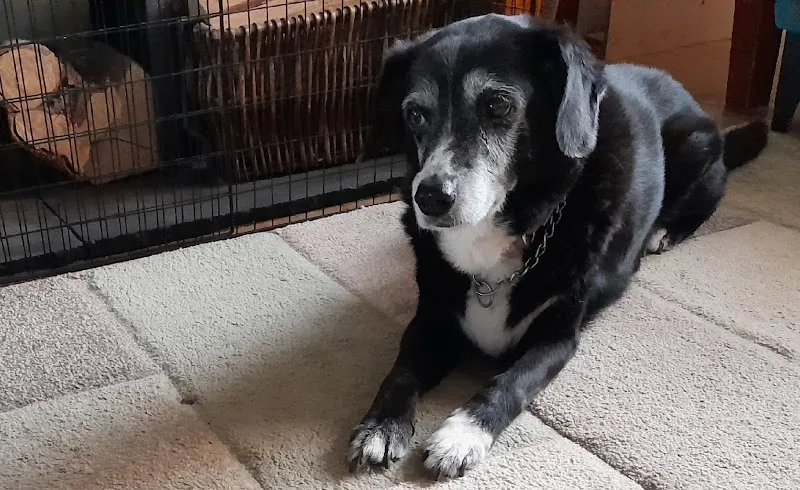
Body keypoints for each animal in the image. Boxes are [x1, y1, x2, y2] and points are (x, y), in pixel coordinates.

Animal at [347, 13, 768, 479]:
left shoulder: (558, 337)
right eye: (415, 114)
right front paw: (380, 426)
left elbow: (511, 383)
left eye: (497, 105)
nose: (430, 197)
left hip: (698, 146)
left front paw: (462, 435)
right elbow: (401, 369)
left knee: (709, 196)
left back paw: (663, 231)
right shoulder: (433, 317)